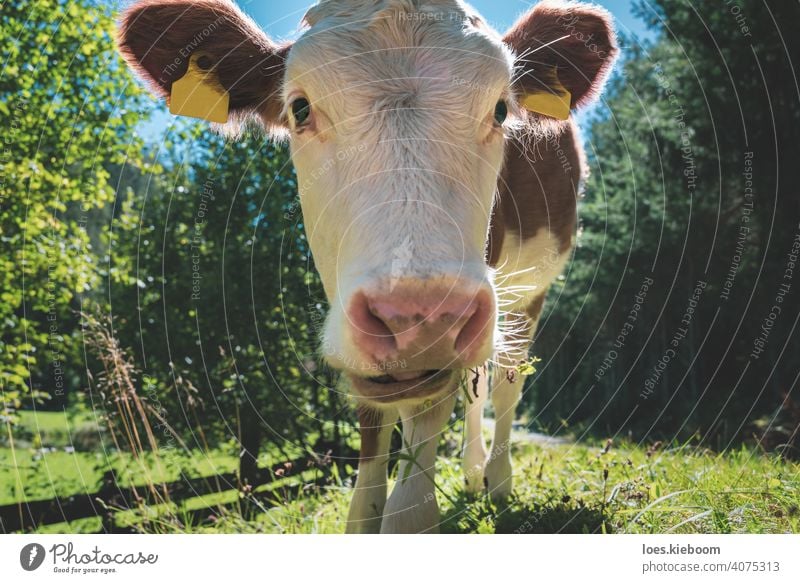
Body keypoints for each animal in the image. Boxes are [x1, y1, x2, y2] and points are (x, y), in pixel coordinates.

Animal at [119, 0, 620, 532]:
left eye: (501, 110)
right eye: (300, 108)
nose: (419, 317)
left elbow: (421, 457)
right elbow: (376, 424)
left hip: (526, 291)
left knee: (504, 383)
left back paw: (497, 481)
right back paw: (472, 473)